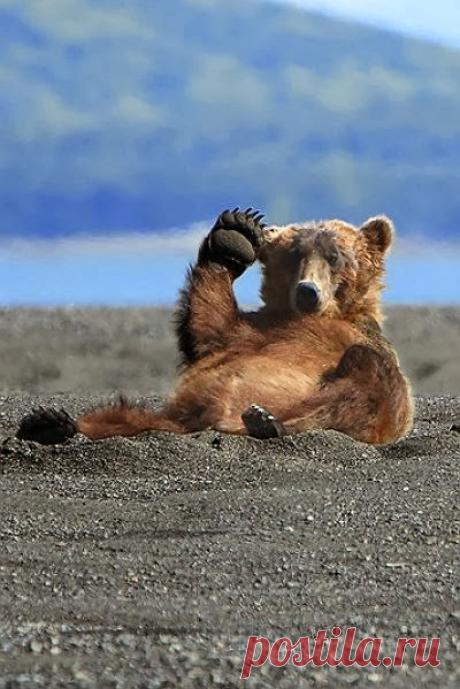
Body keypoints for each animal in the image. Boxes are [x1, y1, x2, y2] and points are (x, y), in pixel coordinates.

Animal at [16, 207, 413, 446]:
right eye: (295, 255)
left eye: (335, 257)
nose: (308, 291)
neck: (317, 318)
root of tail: (218, 420)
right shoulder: (251, 332)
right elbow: (209, 324)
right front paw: (236, 234)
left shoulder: (361, 342)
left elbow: (380, 385)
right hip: (167, 417)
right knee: (121, 416)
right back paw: (51, 423)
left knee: (362, 382)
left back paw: (268, 421)